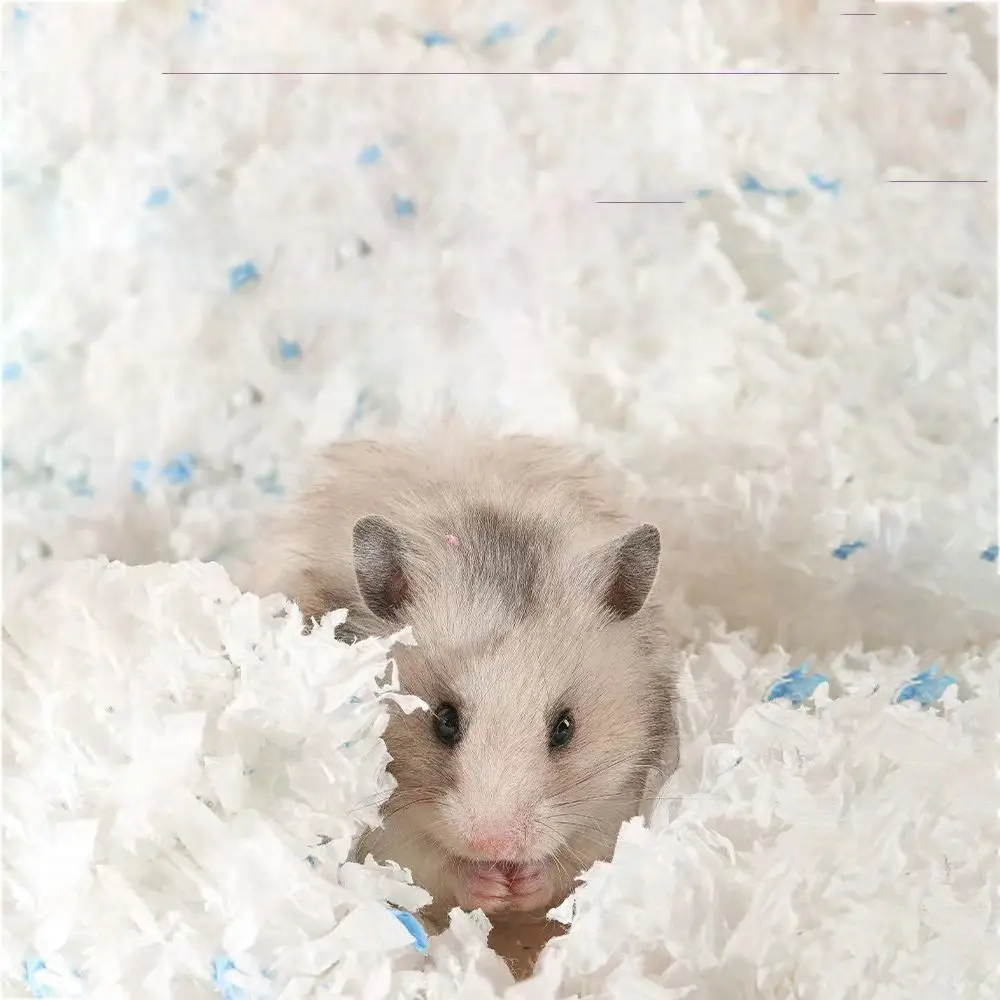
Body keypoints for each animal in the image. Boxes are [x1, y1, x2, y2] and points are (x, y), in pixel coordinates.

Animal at [247, 432, 680, 925]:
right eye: (444, 720)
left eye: (565, 728)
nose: (497, 845)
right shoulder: (385, 833)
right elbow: (428, 867)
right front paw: (490, 885)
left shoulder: (617, 806)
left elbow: (576, 865)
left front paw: (524, 884)